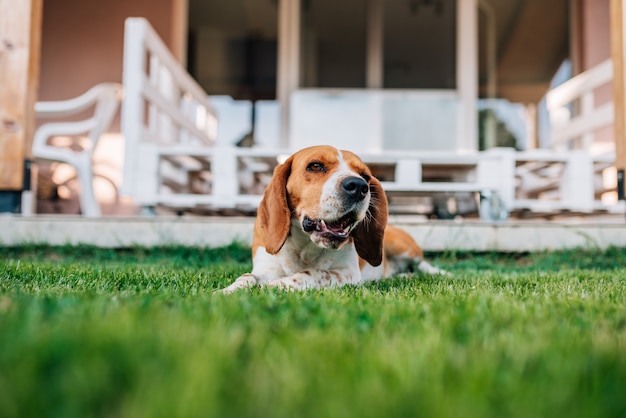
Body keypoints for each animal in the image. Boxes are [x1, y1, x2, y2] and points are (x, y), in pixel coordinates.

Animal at [219, 145, 444, 292]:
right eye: (315, 166)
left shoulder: (347, 273)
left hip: (405, 249)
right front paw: (226, 292)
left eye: (365, 176)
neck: (304, 248)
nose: (359, 186)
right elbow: (246, 277)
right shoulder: (265, 268)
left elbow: (315, 273)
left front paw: (280, 284)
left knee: (424, 265)